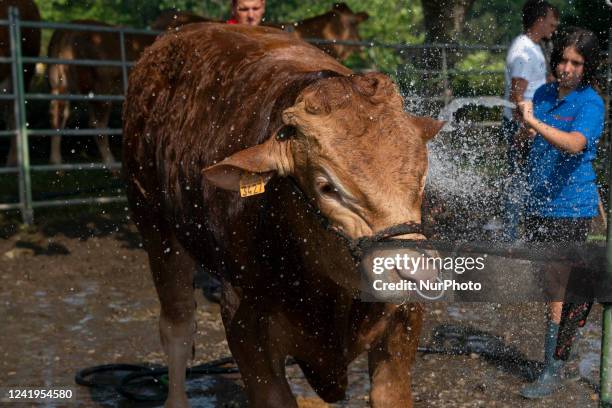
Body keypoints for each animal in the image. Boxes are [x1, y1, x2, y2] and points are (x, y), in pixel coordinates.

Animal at [124, 22, 442, 408]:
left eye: (422, 175)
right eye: (327, 187)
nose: (417, 275)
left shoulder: (402, 325)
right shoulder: (246, 327)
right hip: (153, 221)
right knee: (178, 328)